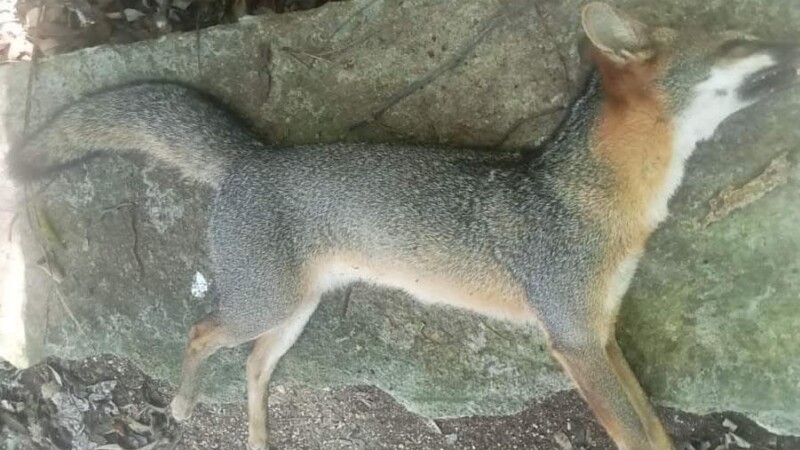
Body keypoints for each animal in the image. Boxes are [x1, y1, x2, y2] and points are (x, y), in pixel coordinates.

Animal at [6, 2, 799, 449]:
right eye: (737, 44)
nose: (791, 47)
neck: (594, 193)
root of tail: (254, 155)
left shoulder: (600, 335)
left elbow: (653, 423)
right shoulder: (574, 339)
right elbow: (640, 436)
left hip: (295, 310)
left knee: (256, 364)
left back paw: (258, 437)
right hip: (267, 304)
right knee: (203, 331)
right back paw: (182, 400)